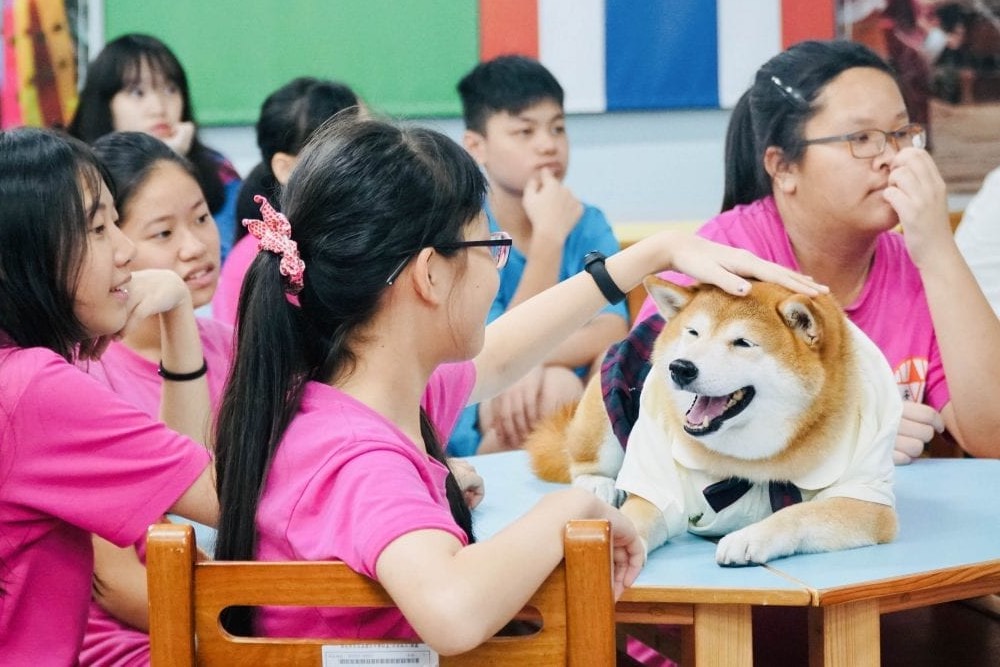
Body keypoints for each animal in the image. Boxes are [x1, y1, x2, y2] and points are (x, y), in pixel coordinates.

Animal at [528, 276, 904, 564]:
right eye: (694, 333)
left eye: (742, 343)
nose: (680, 368)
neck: (754, 465)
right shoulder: (658, 488)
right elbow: (637, 519)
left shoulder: (869, 504)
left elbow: (799, 513)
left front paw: (750, 537)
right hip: (605, 414)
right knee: (582, 461)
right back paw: (599, 484)